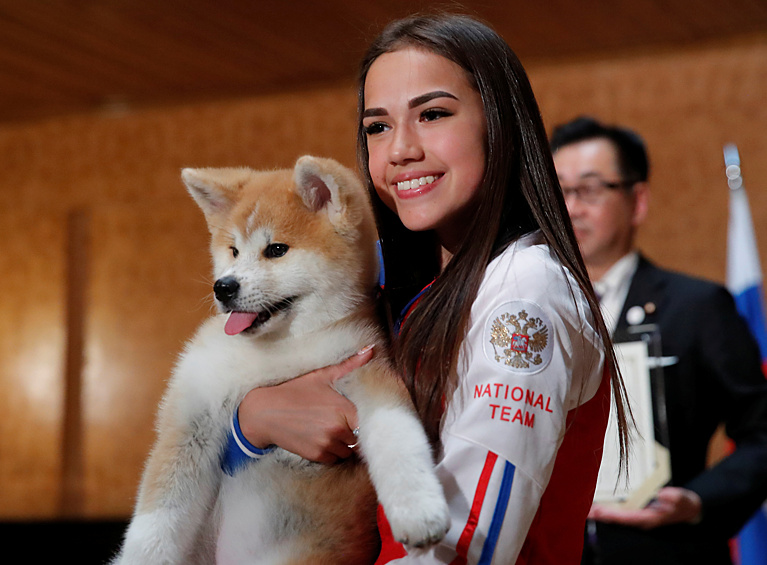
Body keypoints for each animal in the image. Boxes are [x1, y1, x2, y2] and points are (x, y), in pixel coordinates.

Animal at [113, 155, 450, 564]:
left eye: (275, 250)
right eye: (233, 250)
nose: (223, 287)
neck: (284, 348)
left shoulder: (366, 367)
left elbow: (397, 435)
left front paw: (419, 510)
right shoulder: (193, 416)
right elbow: (157, 519)